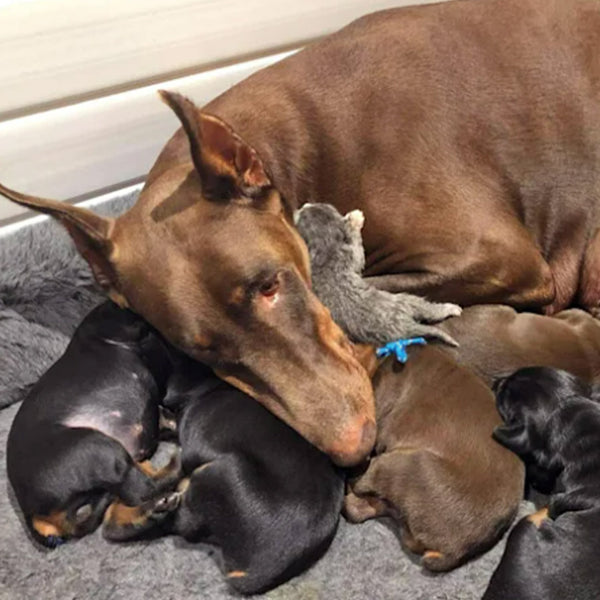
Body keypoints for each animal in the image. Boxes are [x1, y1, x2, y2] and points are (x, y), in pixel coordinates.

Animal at [7, 300, 179, 548]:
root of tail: (32, 514)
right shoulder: (125, 324)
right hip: (98, 447)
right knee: (143, 489)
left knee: (122, 508)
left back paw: (155, 509)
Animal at [294, 204, 460, 344]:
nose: (302, 205)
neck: (326, 250)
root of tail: (406, 325)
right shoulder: (352, 255)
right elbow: (359, 254)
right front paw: (356, 218)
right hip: (407, 301)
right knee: (430, 310)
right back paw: (452, 308)